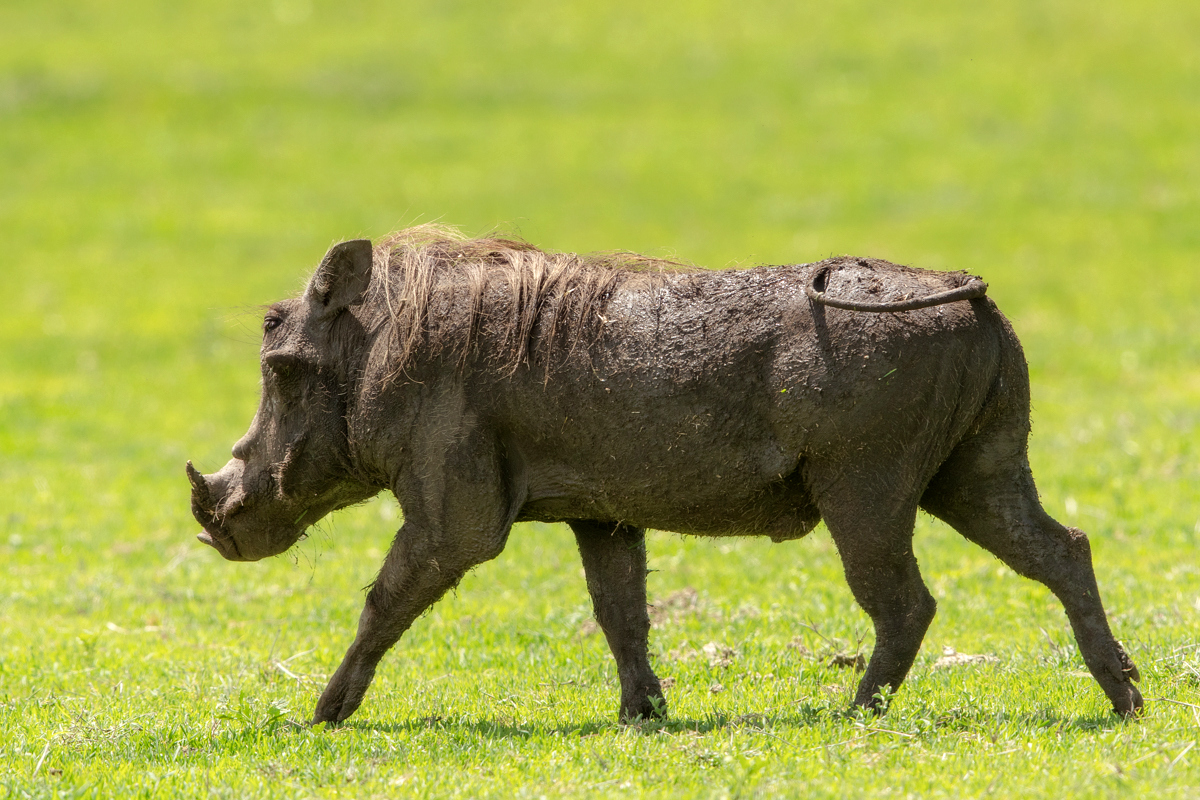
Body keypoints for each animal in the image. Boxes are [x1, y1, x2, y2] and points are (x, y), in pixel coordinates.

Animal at [186, 225, 1142, 725]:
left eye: (280, 363)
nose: (218, 523)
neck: (383, 345)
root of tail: (967, 292)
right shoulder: (602, 517)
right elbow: (622, 616)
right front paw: (642, 716)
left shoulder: (452, 518)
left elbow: (384, 602)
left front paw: (322, 713)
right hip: (977, 473)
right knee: (1065, 549)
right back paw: (1125, 697)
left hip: (868, 488)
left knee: (908, 602)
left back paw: (852, 714)